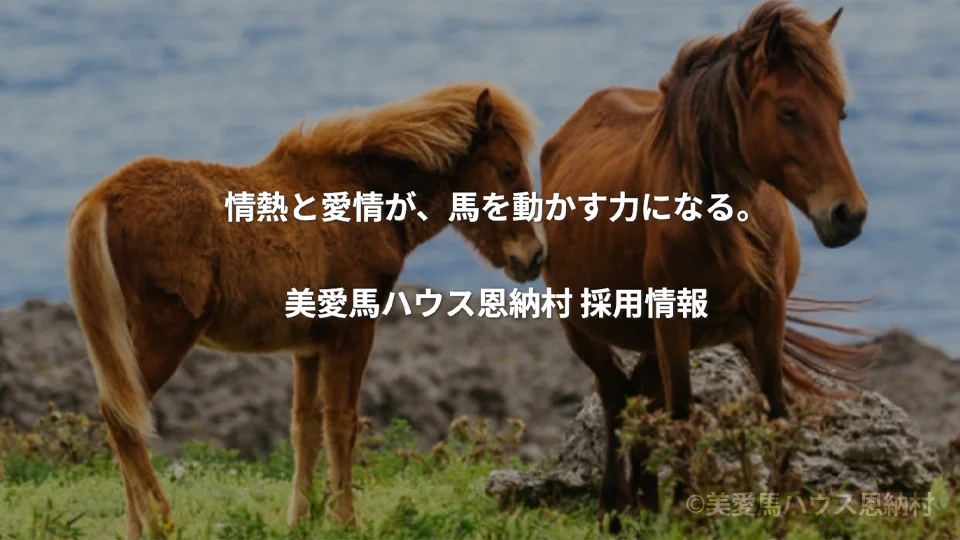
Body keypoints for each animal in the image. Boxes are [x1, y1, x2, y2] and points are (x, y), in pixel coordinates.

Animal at [65, 81, 545, 538]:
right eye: (507, 169)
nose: (534, 257)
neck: (364, 194)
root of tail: (102, 199)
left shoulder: (309, 346)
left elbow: (305, 428)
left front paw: (301, 519)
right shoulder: (353, 330)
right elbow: (342, 423)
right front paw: (346, 521)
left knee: (123, 414)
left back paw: (136, 527)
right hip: (167, 330)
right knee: (123, 418)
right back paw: (161, 522)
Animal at [538, 0, 881, 533]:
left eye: (839, 111)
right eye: (788, 110)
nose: (848, 214)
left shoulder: (768, 310)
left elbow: (776, 408)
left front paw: (778, 514)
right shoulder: (673, 318)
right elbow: (682, 412)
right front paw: (689, 514)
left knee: (640, 396)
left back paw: (645, 503)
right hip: (583, 328)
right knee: (616, 395)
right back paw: (616, 508)